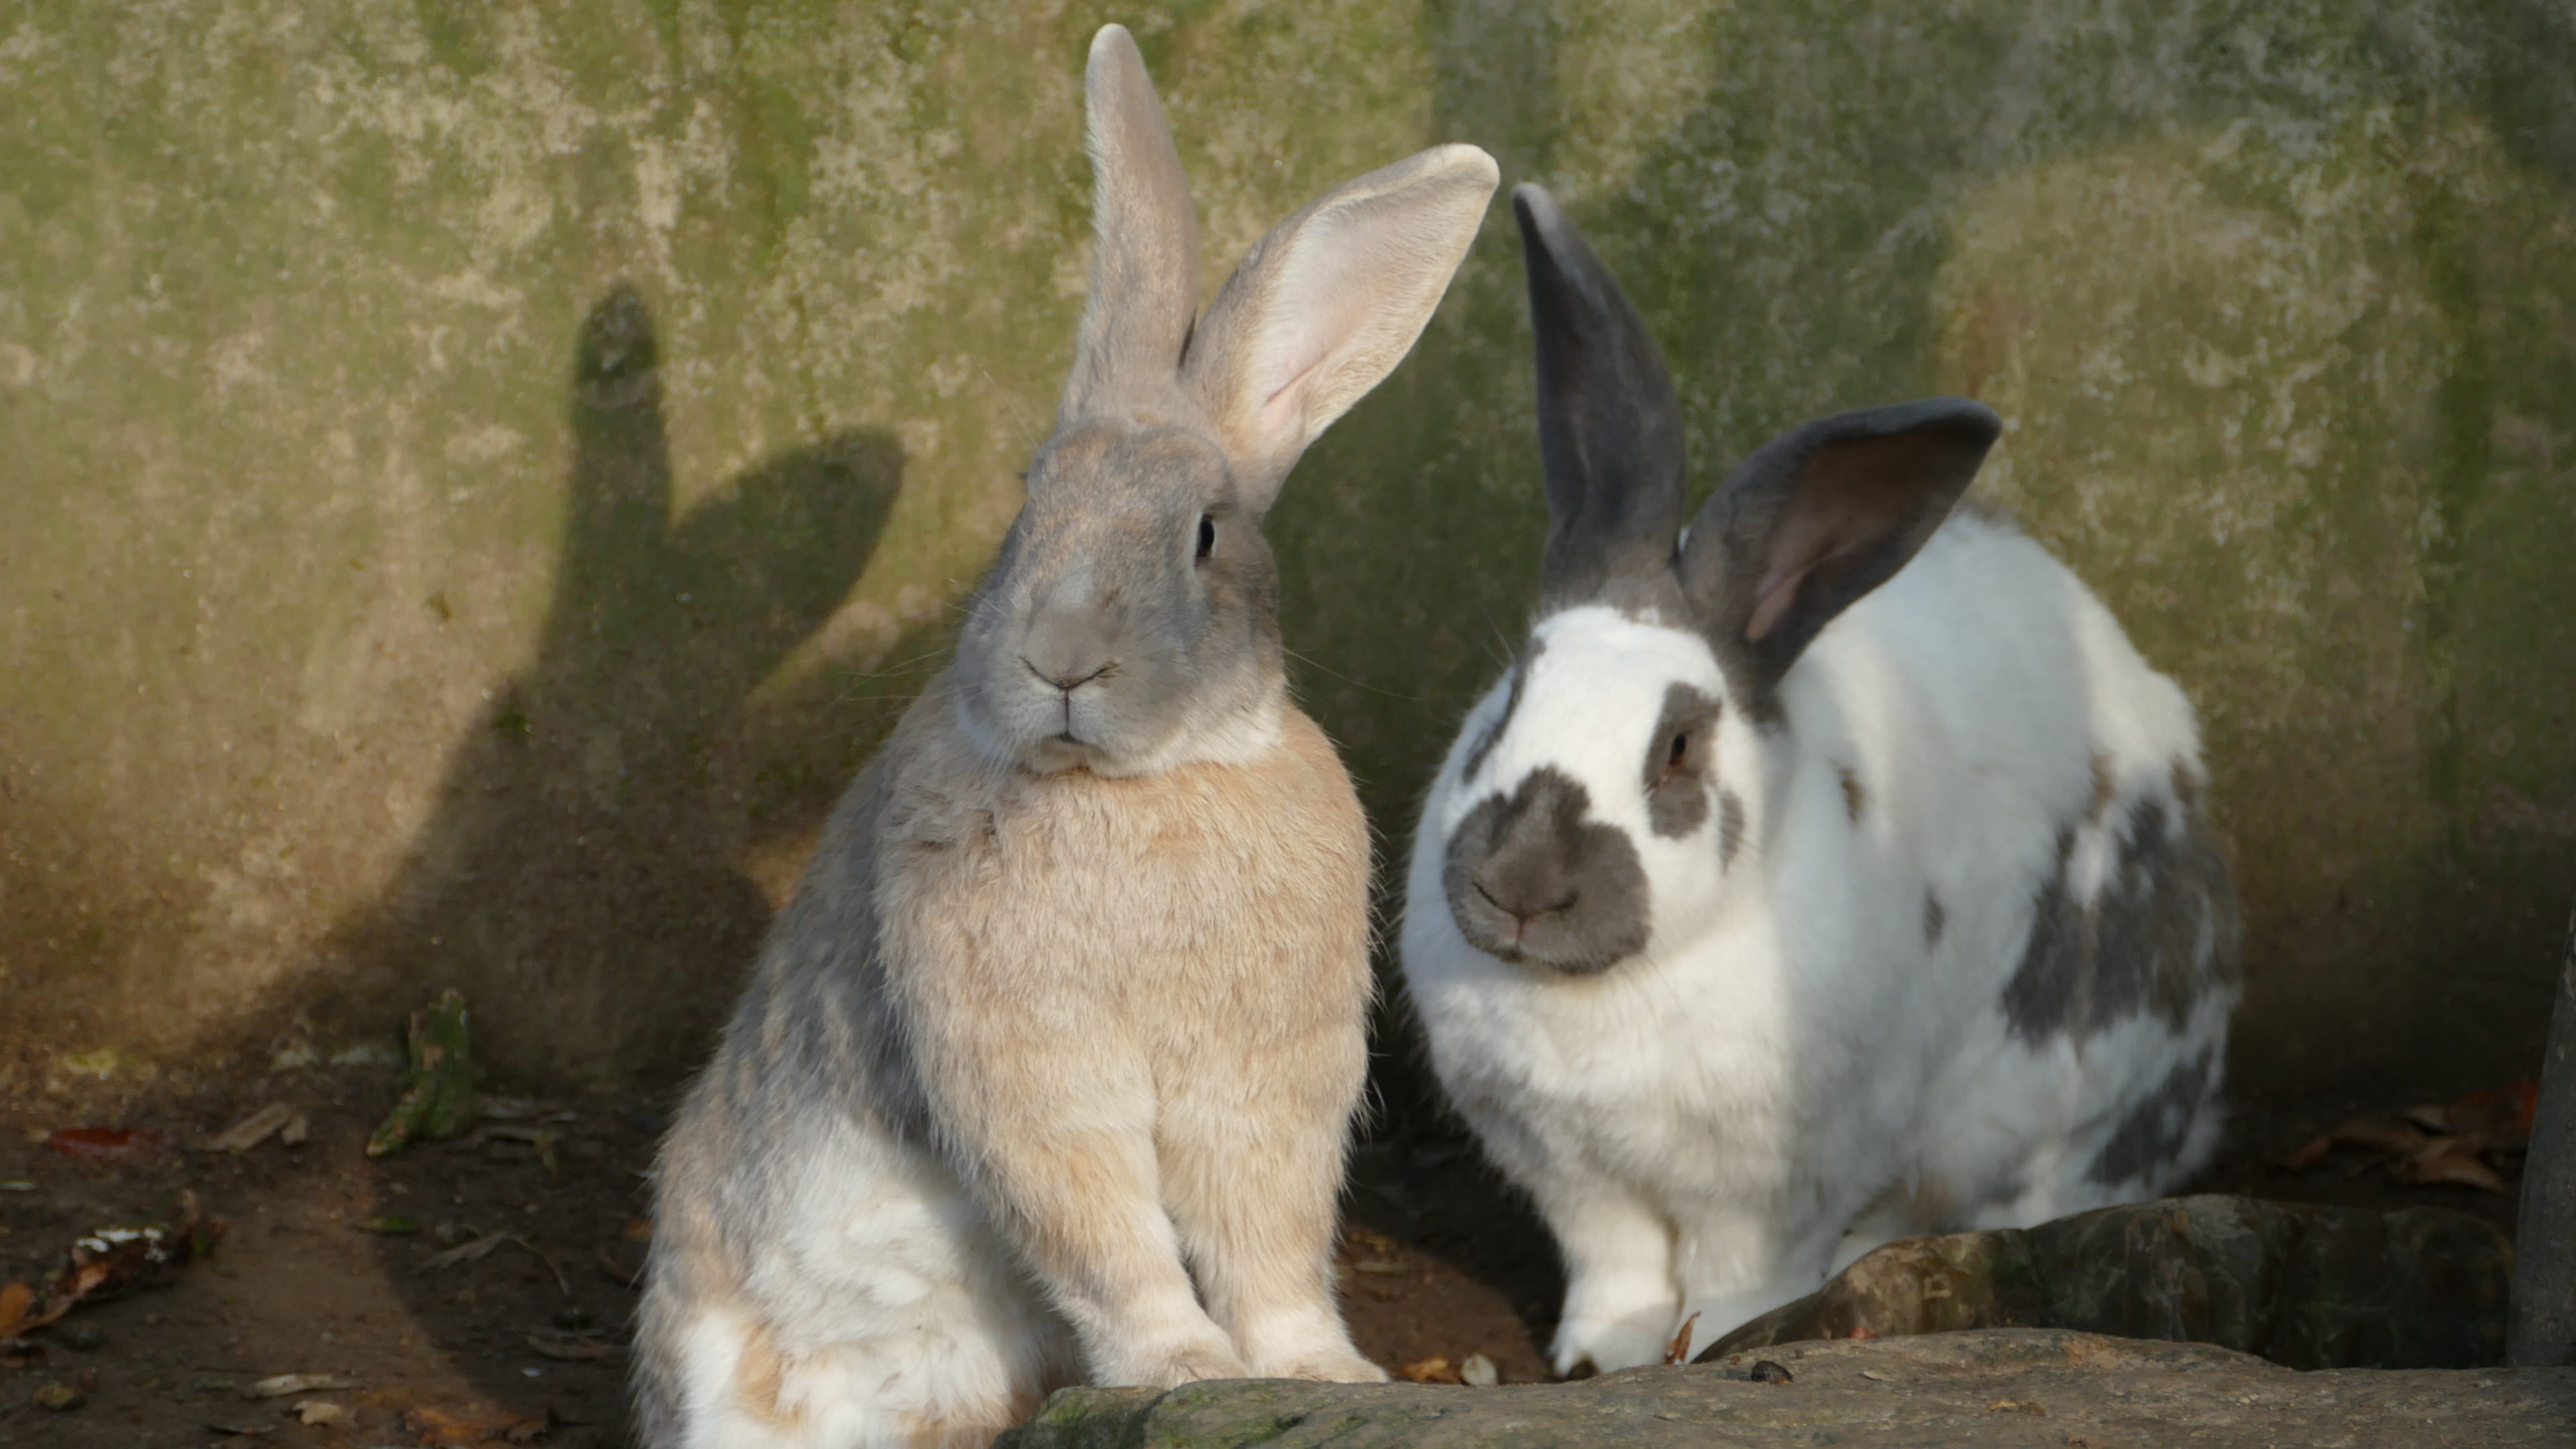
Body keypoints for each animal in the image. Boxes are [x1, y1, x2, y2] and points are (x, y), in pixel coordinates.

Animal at [632, 26, 1498, 1449]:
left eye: (1205, 534)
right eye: (1026, 504)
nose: (1063, 658)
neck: (1144, 787)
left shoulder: (1264, 1085)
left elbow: (1268, 1240)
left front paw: (1316, 1374)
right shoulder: (1026, 1068)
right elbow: (1104, 1232)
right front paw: (1182, 1366)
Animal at [1398, 185, 2240, 1377]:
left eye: (1679, 747)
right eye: (1514, 690)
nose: (1519, 886)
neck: (1606, 995)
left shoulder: (1773, 1186)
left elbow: (1740, 1276)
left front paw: (1713, 1344)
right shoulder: (1575, 1178)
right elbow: (1614, 1268)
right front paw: (1604, 1355)